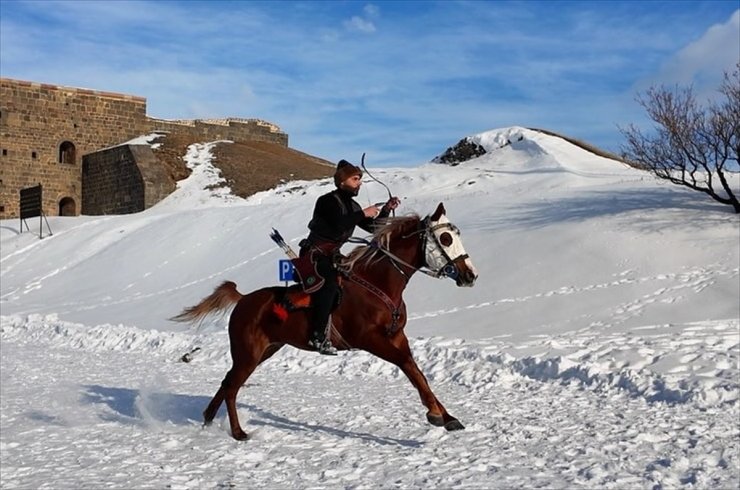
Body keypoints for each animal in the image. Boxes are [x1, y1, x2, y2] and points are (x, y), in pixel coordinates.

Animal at [176, 203, 480, 440]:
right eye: (445, 238)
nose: (470, 275)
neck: (378, 282)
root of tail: (243, 300)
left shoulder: (396, 337)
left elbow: (418, 373)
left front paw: (447, 416)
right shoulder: (370, 340)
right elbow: (407, 367)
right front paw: (435, 414)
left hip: (264, 350)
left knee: (227, 381)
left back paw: (207, 417)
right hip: (248, 354)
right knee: (232, 387)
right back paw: (238, 432)